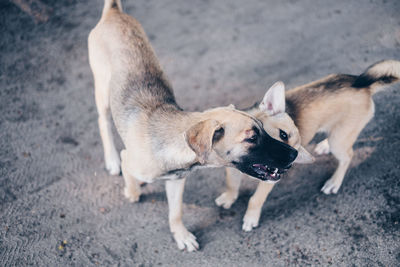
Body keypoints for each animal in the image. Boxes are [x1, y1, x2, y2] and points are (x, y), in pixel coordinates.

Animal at [87, 0, 298, 251]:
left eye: (264, 131)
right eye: (251, 137)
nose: (294, 154)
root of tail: (113, 12)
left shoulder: (177, 181)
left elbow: (175, 213)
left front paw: (181, 235)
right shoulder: (129, 158)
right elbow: (129, 173)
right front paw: (132, 192)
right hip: (102, 92)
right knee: (103, 122)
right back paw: (111, 160)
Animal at [217, 60, 400, 232]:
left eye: (296, 151)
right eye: (283, 135)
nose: (292, 159)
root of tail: (365, 87)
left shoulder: (269, 181)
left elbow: (255, 199)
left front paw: (251, 218)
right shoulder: (231, 168)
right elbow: (232, 184)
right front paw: (228, 198)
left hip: (339, 140)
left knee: (348, 156)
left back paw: (334, 182)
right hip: (337, 134)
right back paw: (324, 146)